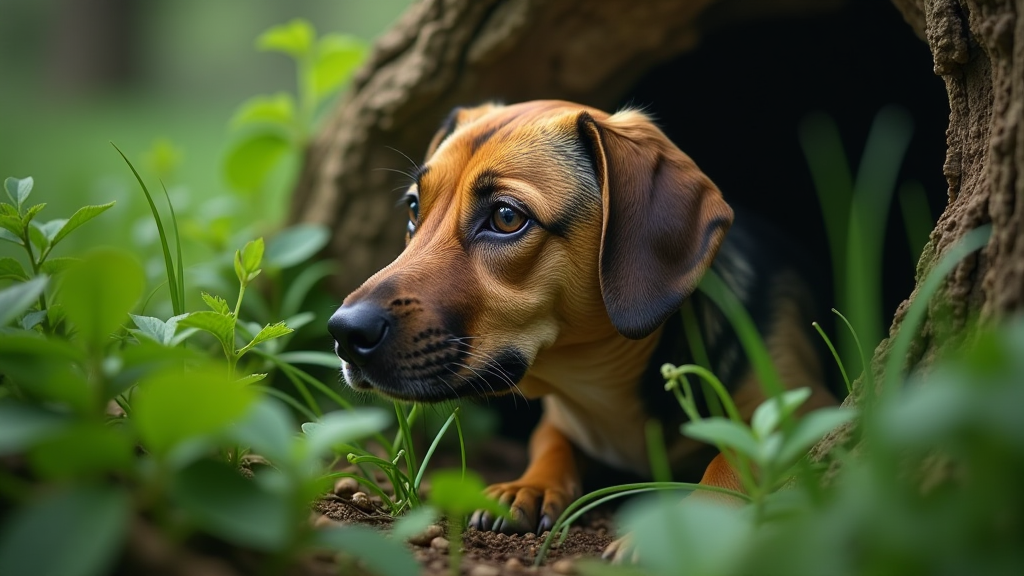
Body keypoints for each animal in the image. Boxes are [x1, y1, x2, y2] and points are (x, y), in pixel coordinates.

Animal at [329, 99, 839, 541]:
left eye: (506, 216)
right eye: (415, 208)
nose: (344, 333)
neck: (604, 387)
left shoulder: (808, 406)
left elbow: (736, 455)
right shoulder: (560, 420)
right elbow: (551, 442)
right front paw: (529, 486)